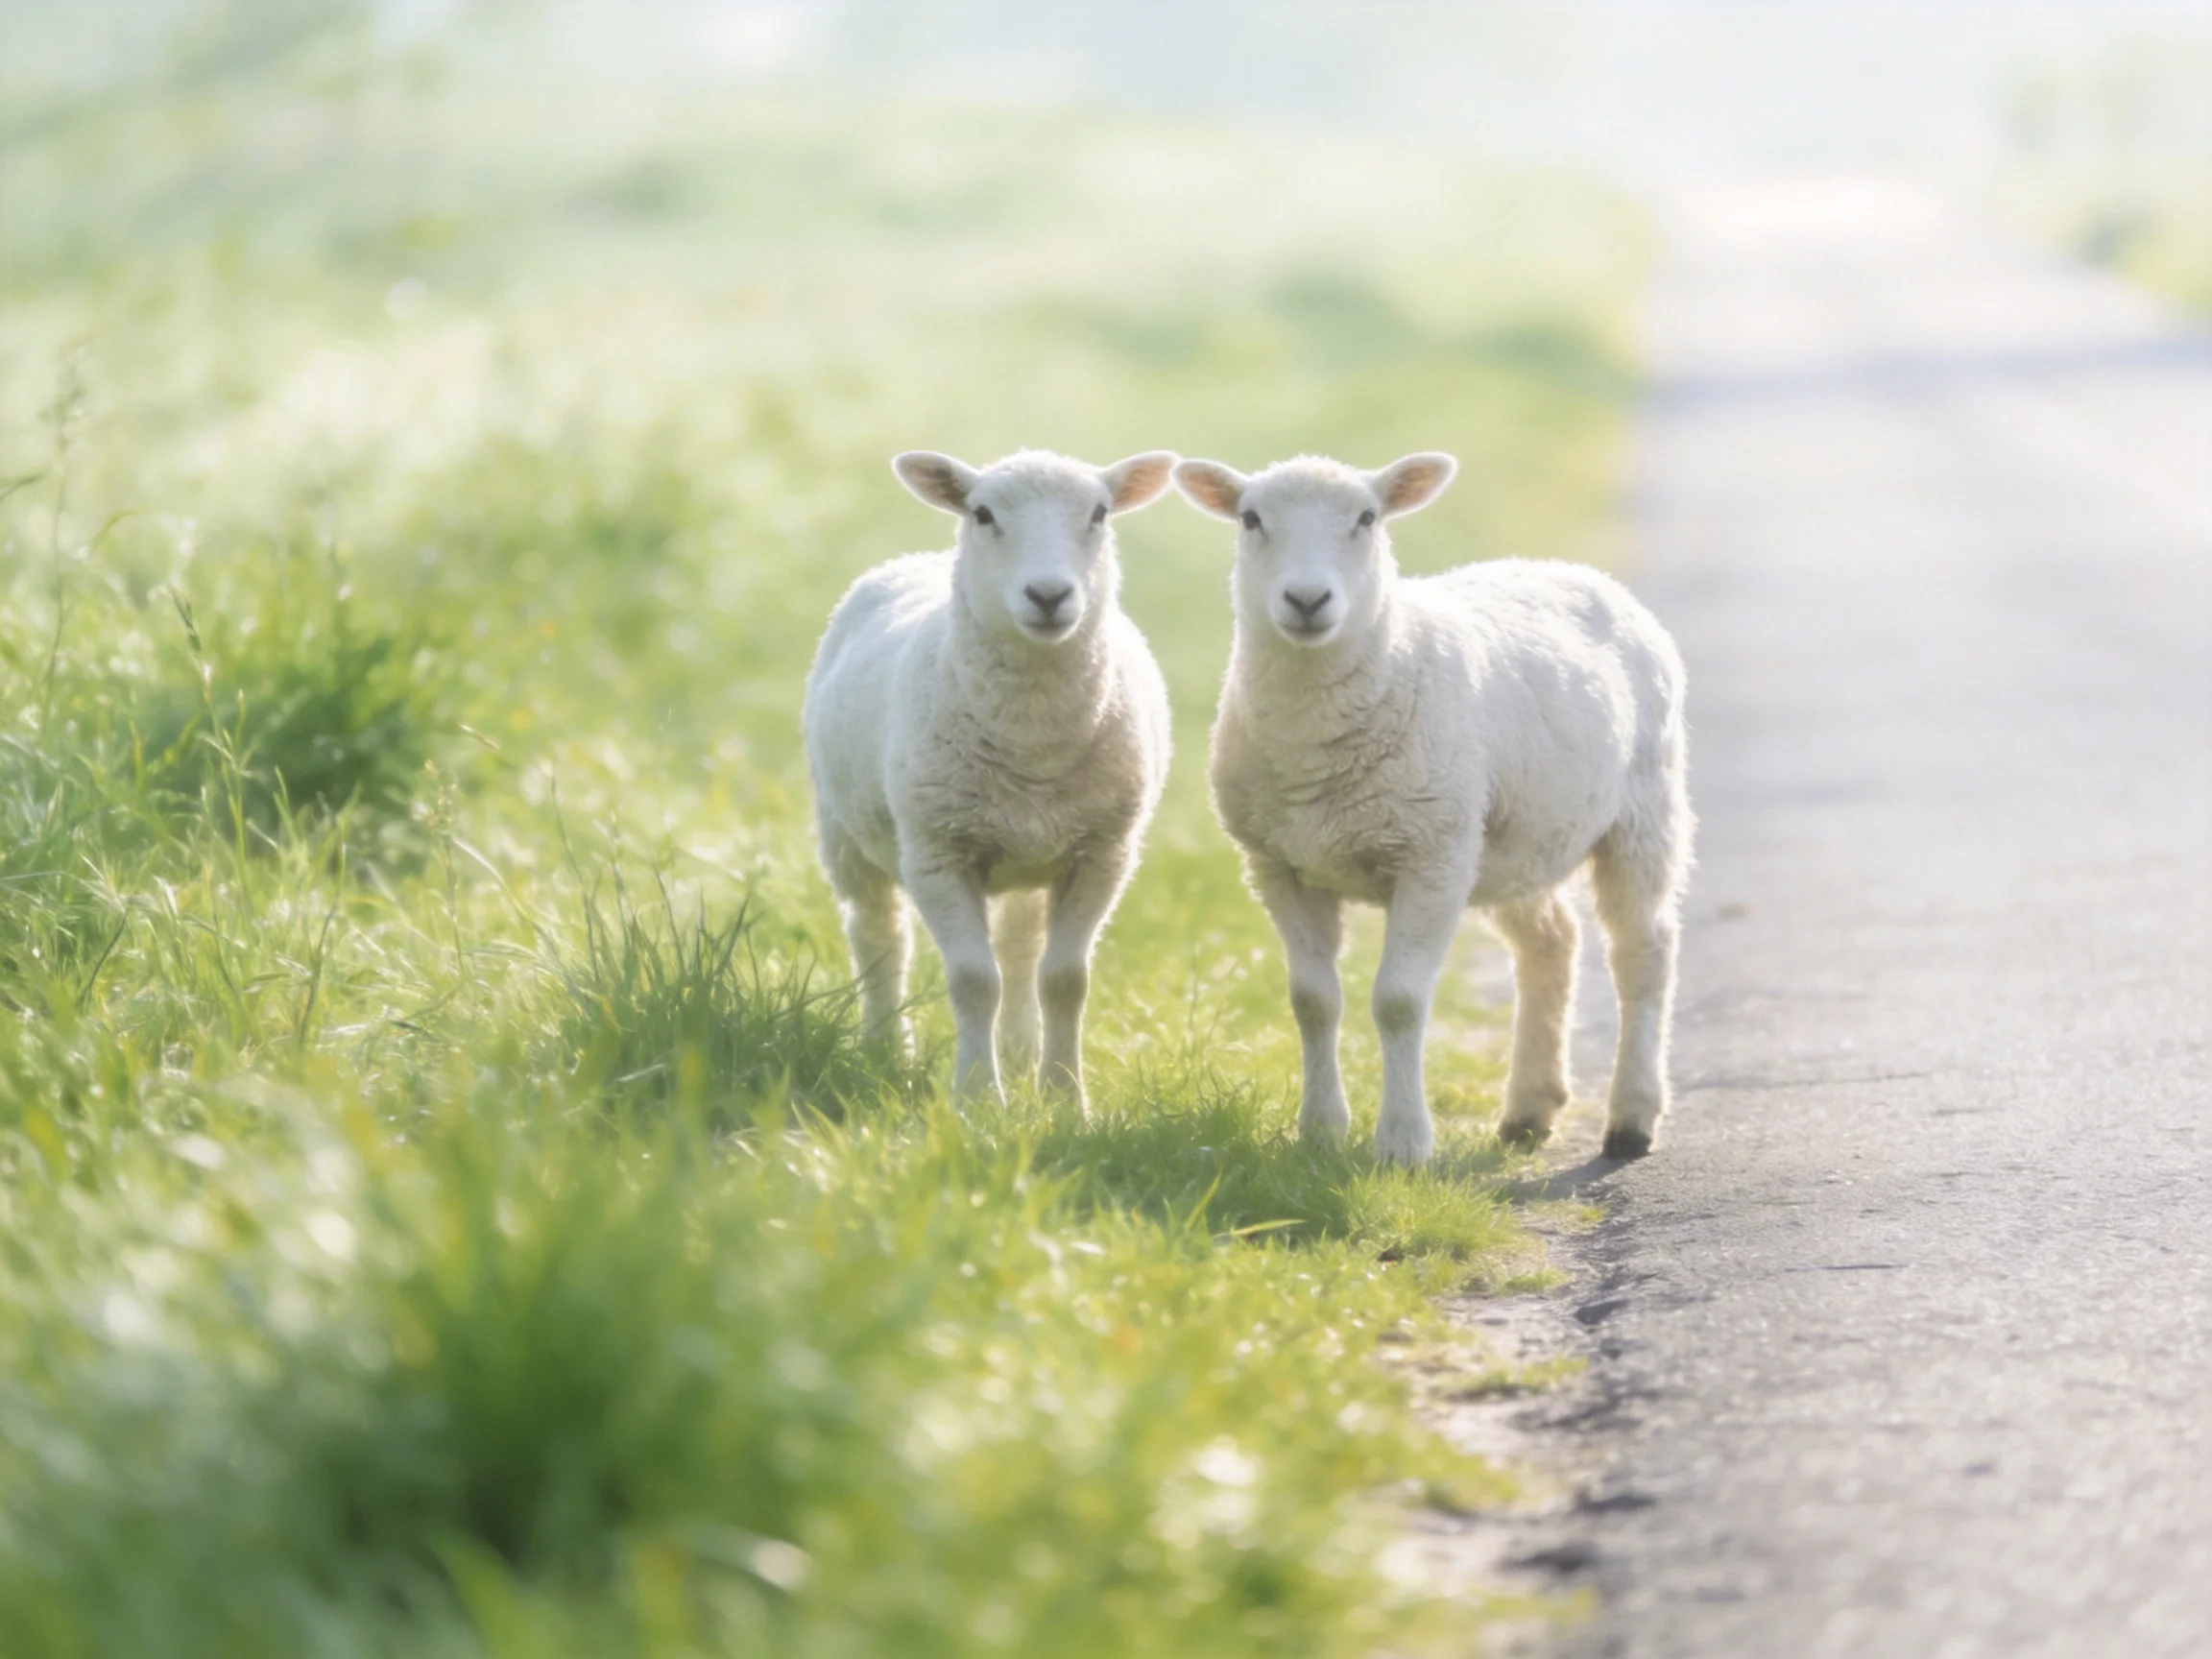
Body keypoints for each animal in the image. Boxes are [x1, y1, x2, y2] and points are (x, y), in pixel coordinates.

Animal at [803, 448, 1178, 1107]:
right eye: (982, 514)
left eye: (1100, 513)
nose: (1048, 595)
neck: (1035, 744)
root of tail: (917, 559)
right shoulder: (937, 851)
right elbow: (975, 980)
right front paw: (978, 1099)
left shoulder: (1102, 853)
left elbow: (1065, 980)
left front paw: (1064, 1099)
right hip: (844, 834)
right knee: (878, 936)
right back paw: (885, 1049)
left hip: (1031, 852)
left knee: (1020, 949)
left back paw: (1022, 1052)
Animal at [1173, 452, 1692, 1165]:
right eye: (1251, 519)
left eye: (1367, 518)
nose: (1307, 601)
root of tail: (1574, 570)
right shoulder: (1277, 865)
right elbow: (1312, 1001)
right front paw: (1320, 1132)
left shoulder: (1429, 857)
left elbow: (1398, 1001)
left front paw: (1403, 1145)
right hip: (1508, 836)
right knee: (1552, 942)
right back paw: (1529, 1109)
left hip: (1641, 810)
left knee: (1643, 950)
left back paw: (1631, 1119)